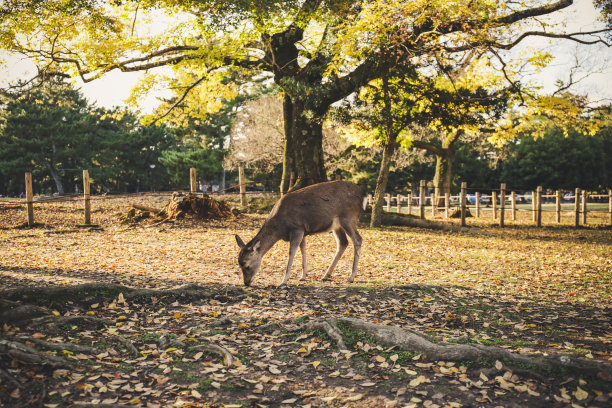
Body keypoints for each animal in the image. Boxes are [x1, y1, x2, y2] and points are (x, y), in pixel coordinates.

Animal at [235, 182, 366, 286]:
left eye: (246, 265)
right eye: (239, 264)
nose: (246, 283)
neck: (279, 228)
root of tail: (363, 196)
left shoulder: (296, 228)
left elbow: (292, 252)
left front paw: (284, 281)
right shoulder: (303, 231)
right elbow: (303, 249)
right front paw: (303, 276)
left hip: (348, 217)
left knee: (357, 239)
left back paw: (351, 277)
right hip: (337, 225)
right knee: (343, 242)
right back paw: (326, 275)